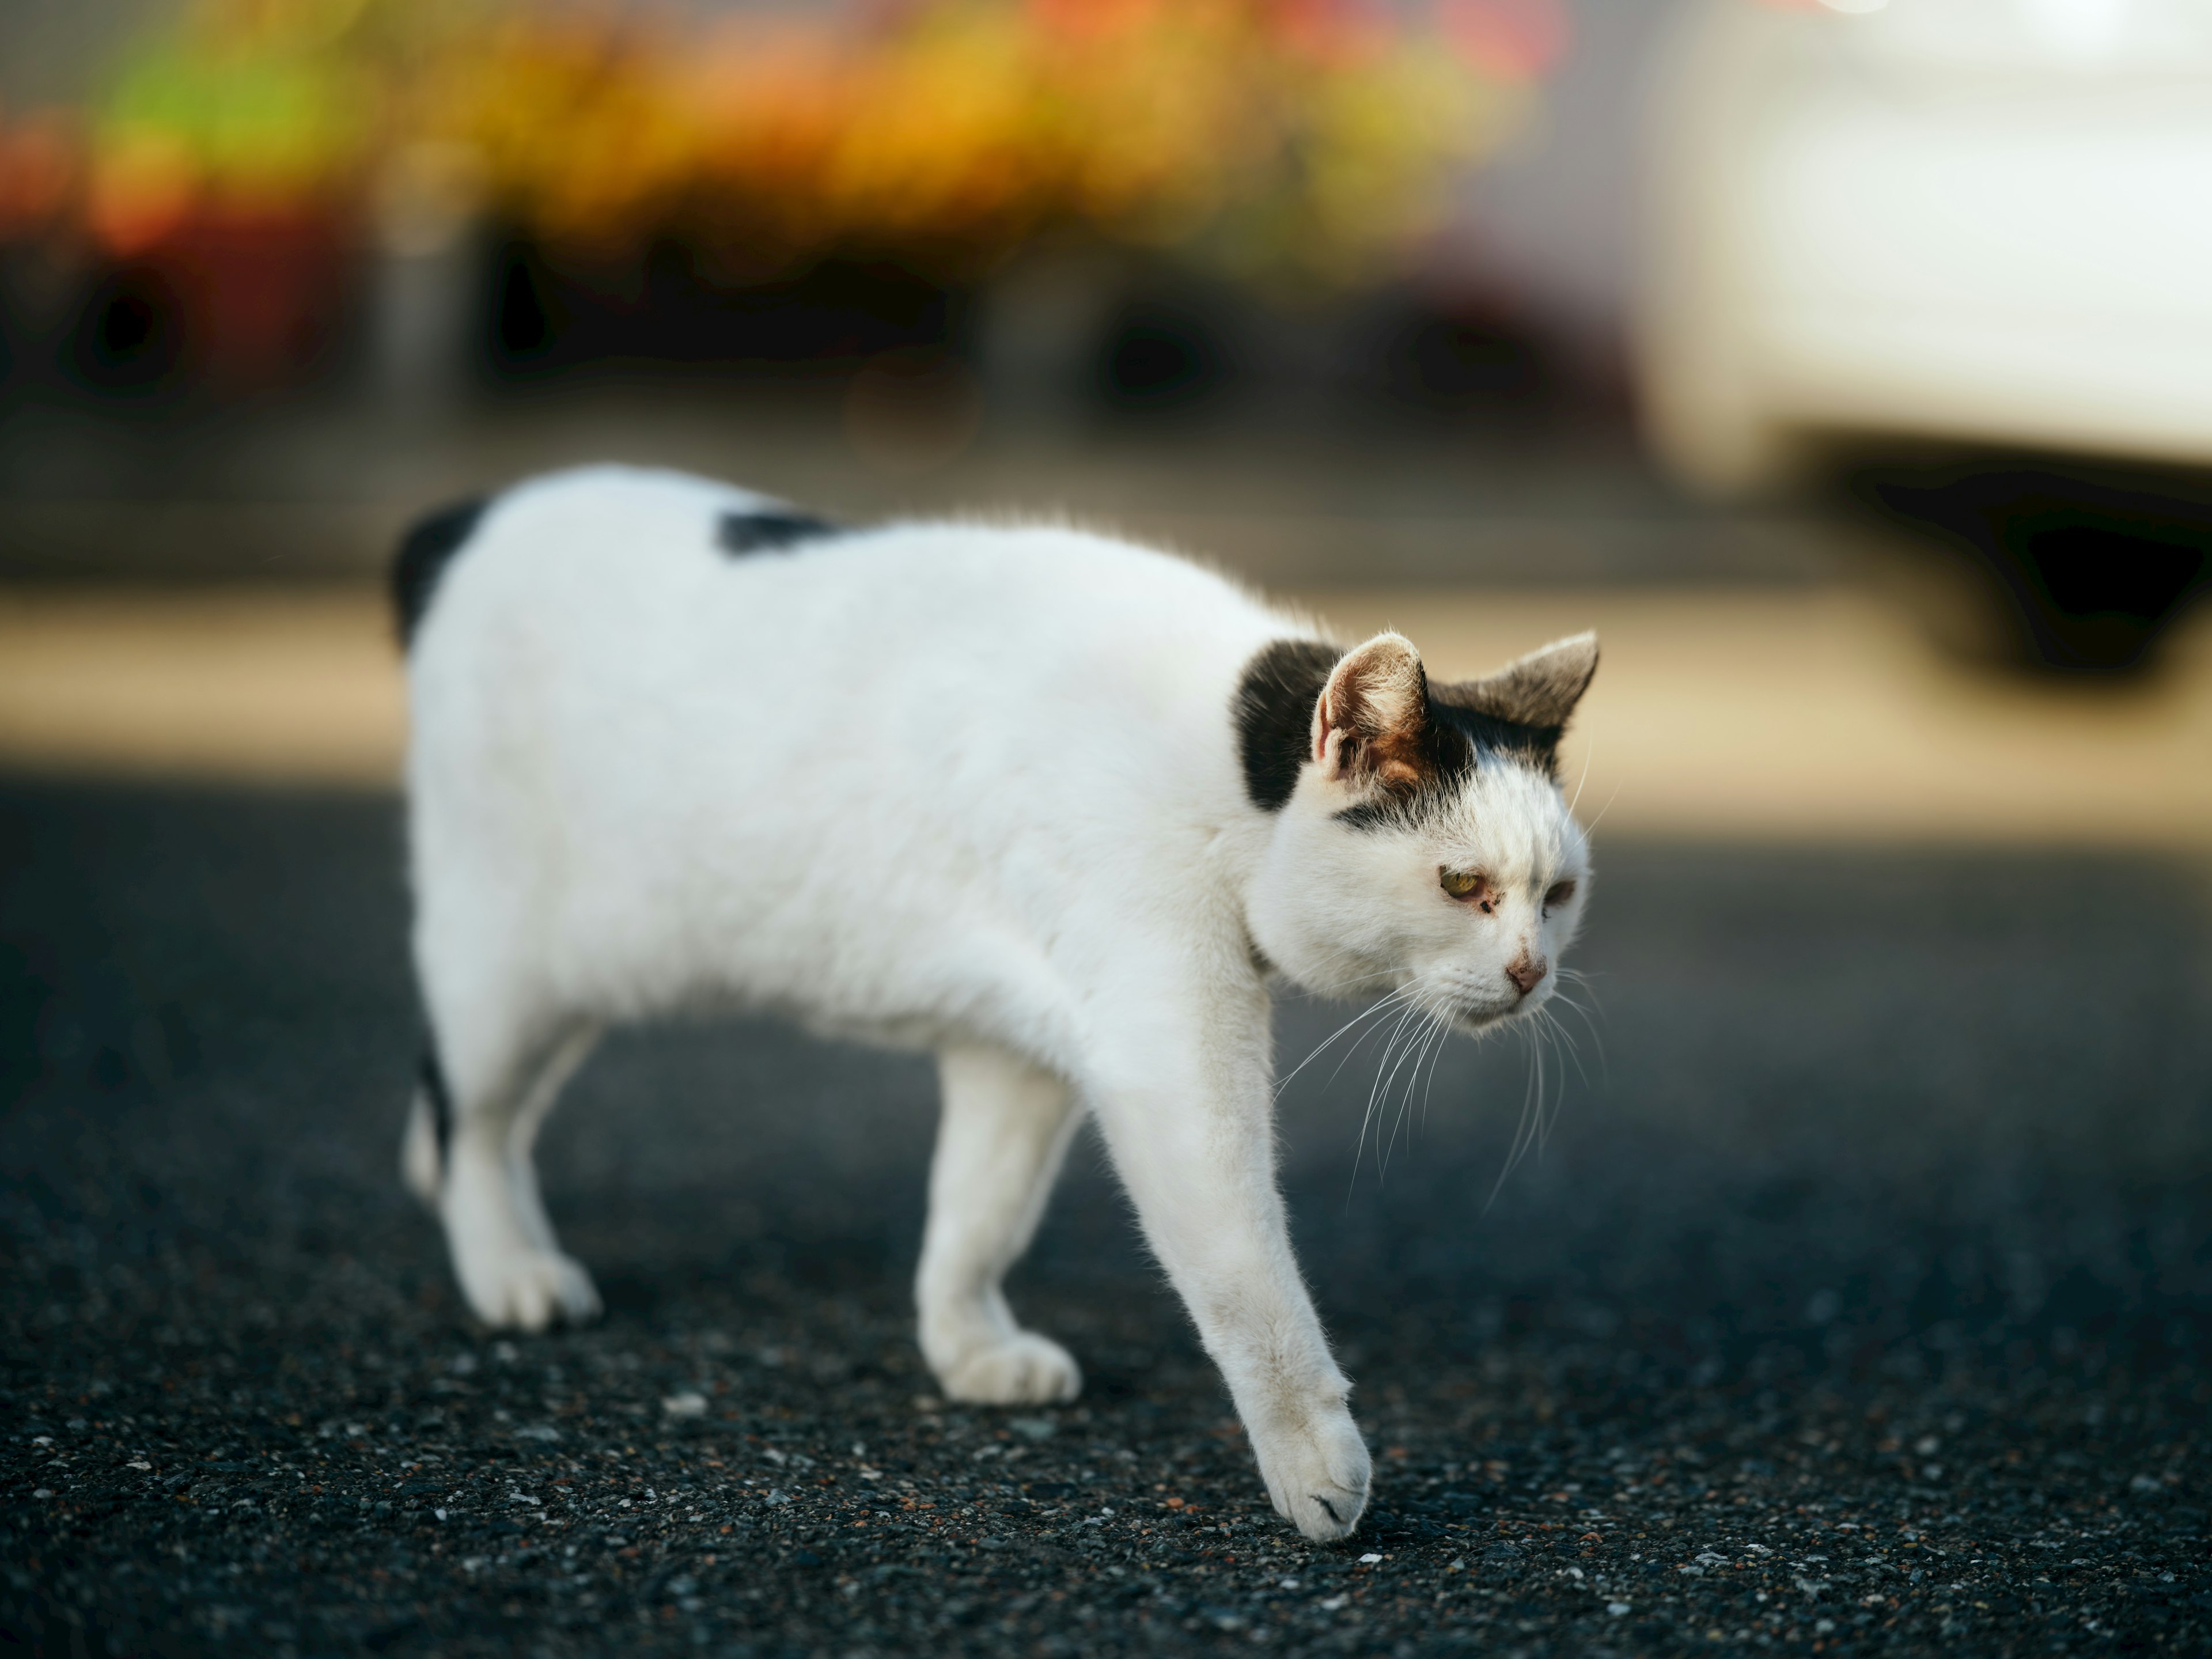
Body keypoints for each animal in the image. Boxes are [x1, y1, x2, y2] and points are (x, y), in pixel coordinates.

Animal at [393, 464, 1592, 1548]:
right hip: (507, 966)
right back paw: (509, 1271)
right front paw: (1316, 1461)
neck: (1214, 772)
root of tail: (469, 515)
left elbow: (977, 1217)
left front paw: (965, 1347)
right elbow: (1252, 1283)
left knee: (469, 1114)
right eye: (1463, 886)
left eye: (1559, 895)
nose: (1532, 971)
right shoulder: (1168, 1057)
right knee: (470, 1118)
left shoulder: (1016, 1064)